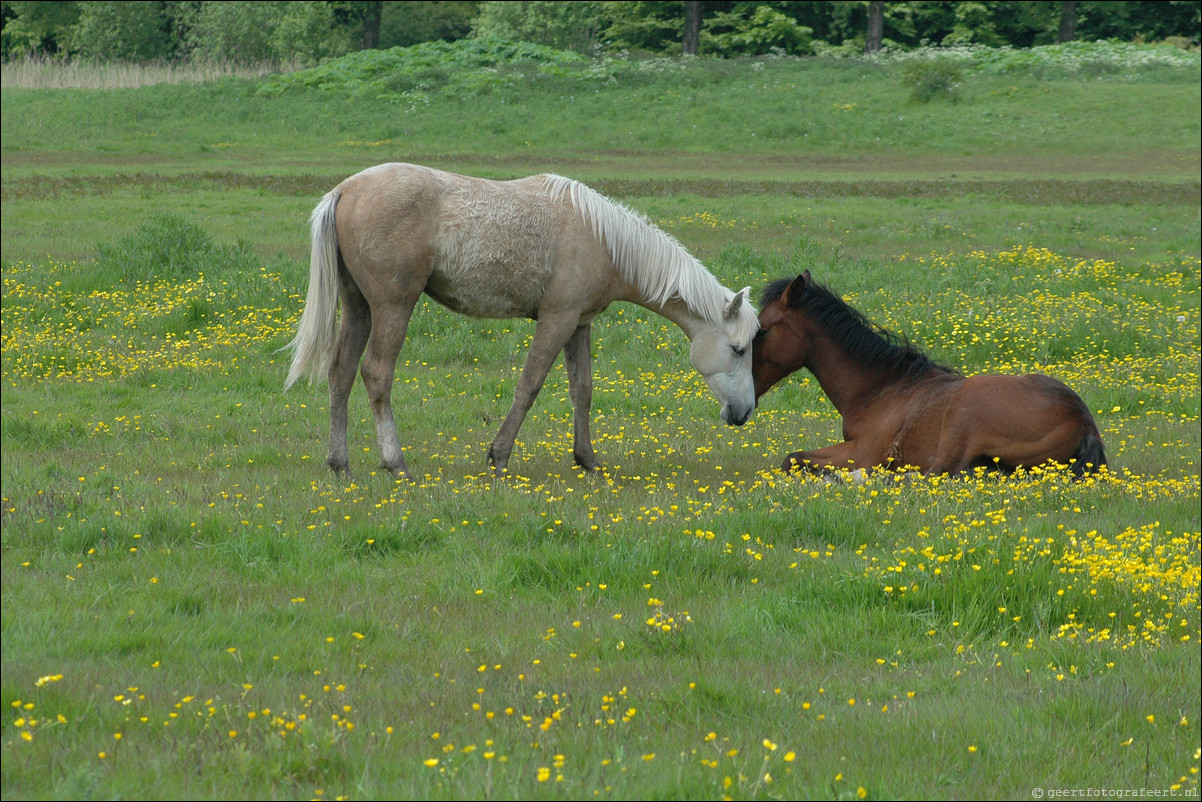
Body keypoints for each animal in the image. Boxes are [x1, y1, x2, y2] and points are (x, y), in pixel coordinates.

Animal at [282, 163, 754, 476]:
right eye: (738, 349)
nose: (744, 412)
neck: (601, 238)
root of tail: (345, 190)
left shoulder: (579, 324)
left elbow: (582, 391)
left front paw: (588, 460)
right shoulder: (556, 320)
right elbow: (530, 385)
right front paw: (499, 455)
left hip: (358, 307)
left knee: (341, 374)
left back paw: (339, 464)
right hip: (392, 307)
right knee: (377, 374)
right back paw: (395, 463)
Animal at [750, 272, 1105, 480]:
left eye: (762, 330)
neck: (882, 388)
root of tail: (1082, 421)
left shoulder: (863, 452)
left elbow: (792, 459)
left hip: (963, 414)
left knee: (936, 474)